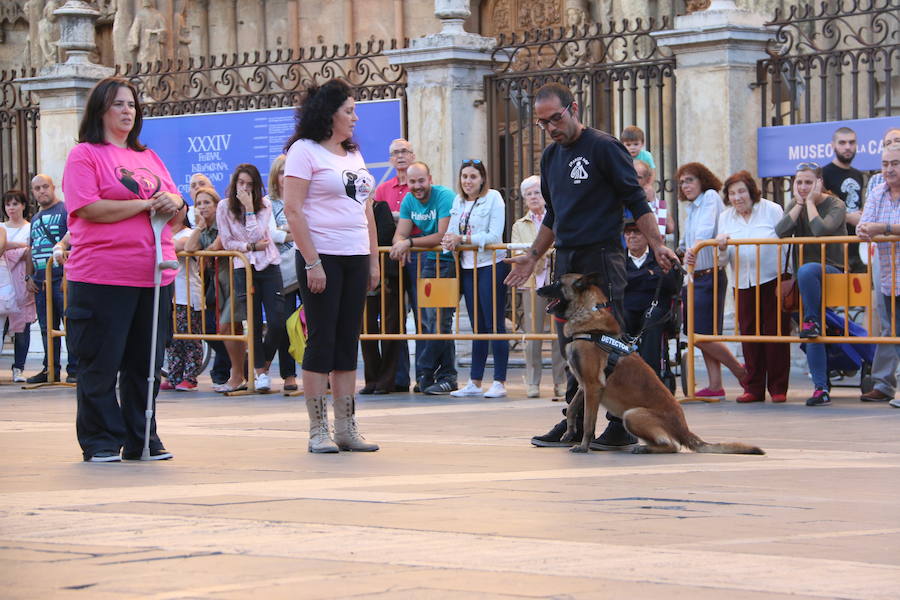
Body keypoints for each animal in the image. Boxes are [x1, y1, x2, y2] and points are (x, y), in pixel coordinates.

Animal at [536, 274, 764, 454]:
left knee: (673, 446)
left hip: (632, 415)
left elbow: (589, 422)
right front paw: (569, 432)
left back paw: (644, 448)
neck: (589, 322)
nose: (538, 289)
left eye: (556, 282)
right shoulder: (585, 385)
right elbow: (572, 408)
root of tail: (684, 428)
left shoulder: (593, 386)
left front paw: (583, 445)